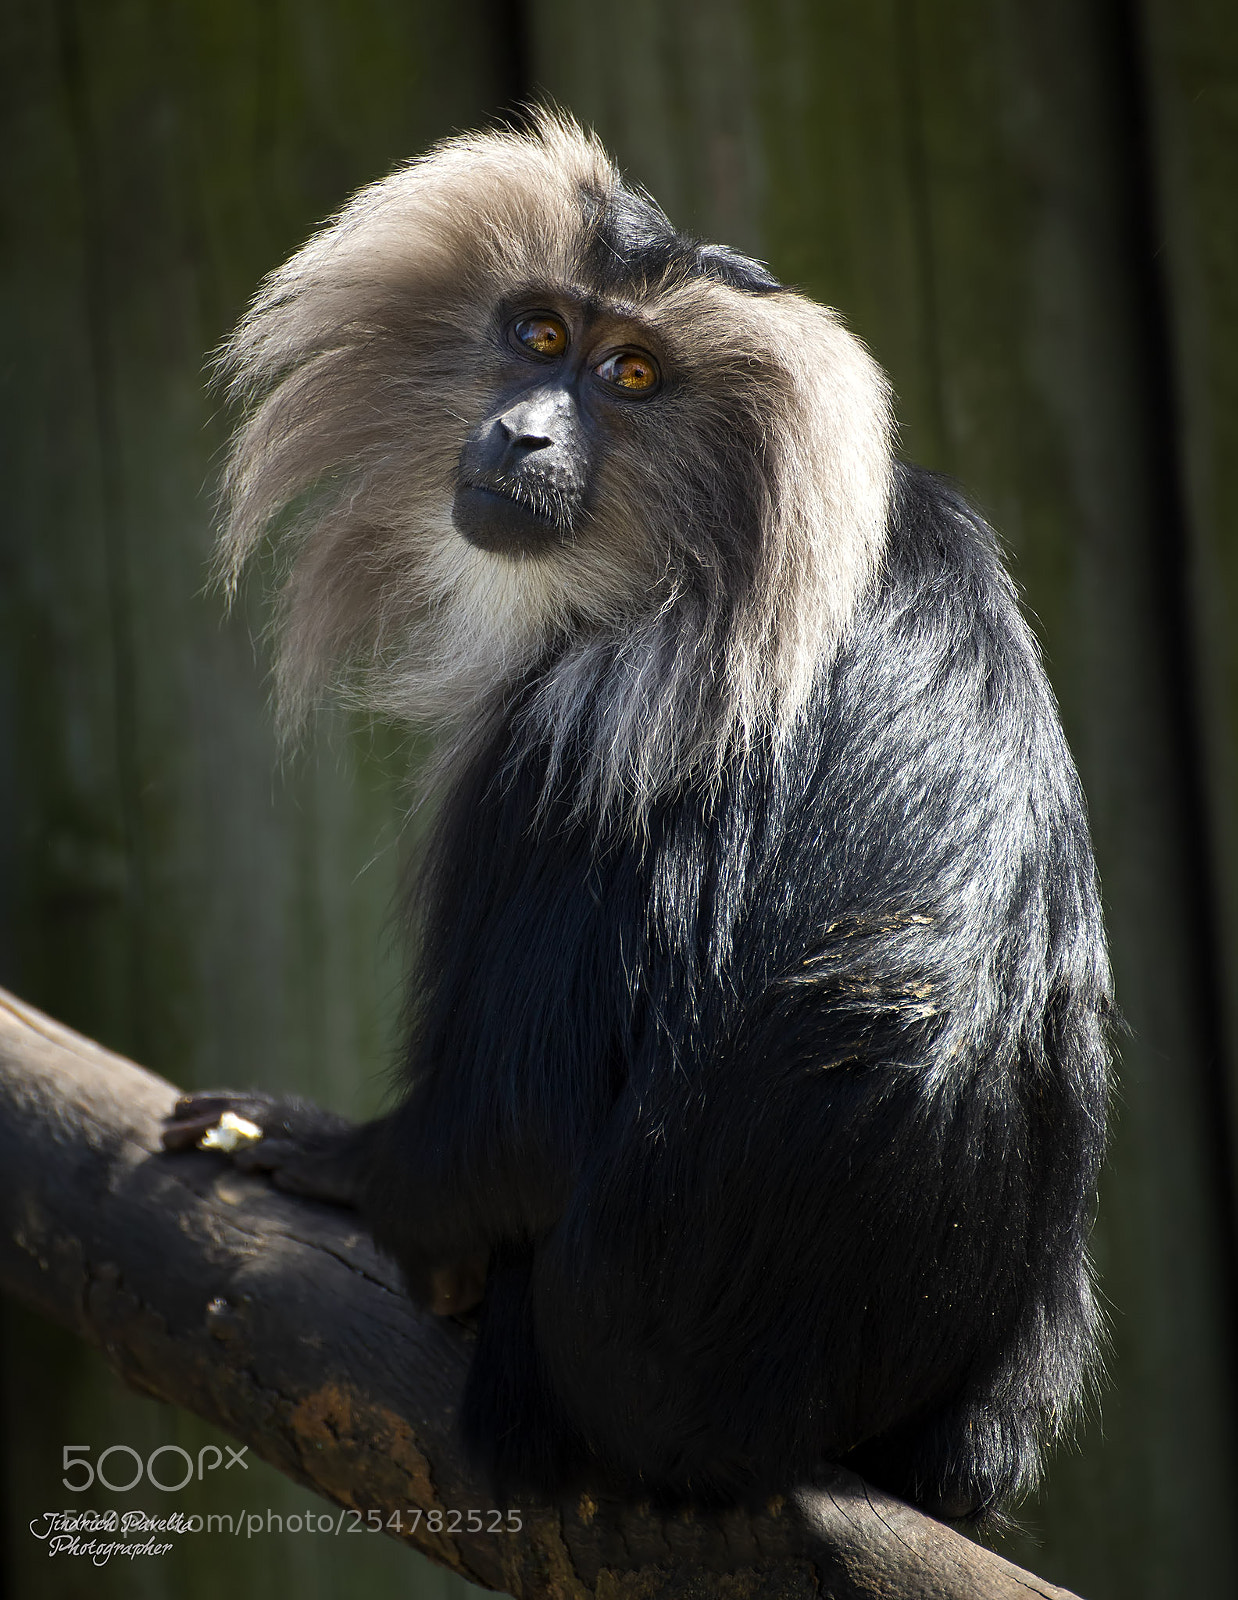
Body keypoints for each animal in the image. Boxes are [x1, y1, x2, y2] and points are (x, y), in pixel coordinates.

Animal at [162, 110, 1111, 1522]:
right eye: (539, 337)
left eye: (631, 374)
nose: (524, 437)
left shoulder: (586, 722)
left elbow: (520, 1123)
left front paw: (334, 1154)